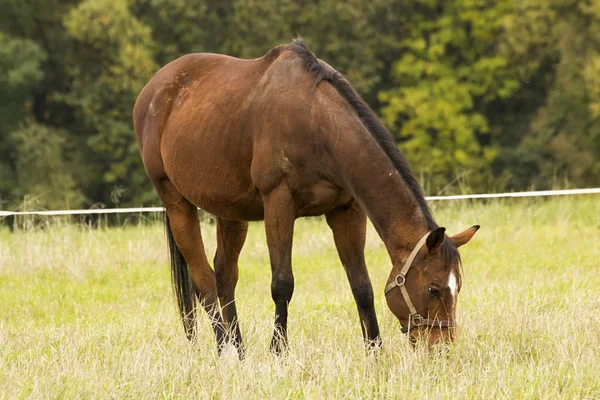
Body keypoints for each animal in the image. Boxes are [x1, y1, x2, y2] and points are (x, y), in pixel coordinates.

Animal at [131, 38, 478, 356]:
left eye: (457, 286)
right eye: (433, 289)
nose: (443, 348)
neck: (316, 123)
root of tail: (154, 89)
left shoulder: (346, 210)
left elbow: (361, 285)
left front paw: (375, 352)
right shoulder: (279, 204)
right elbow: (282, 283)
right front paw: (278, 352)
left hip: (230, 211)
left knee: (224, 276)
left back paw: (239, 351)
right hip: (177, 202)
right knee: (204, 280)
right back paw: (224, 350)